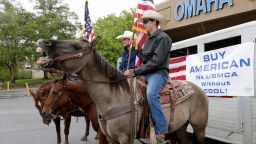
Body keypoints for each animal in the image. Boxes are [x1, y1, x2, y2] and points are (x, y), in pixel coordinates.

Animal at [36, 38, 208, 144]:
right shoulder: (110, 138)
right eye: (50, 91)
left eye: (77, 46)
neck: (112, 98)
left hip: (199, 128)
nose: (45, 42)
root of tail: (198, 89)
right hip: (180, 127)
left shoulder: (125, 138)